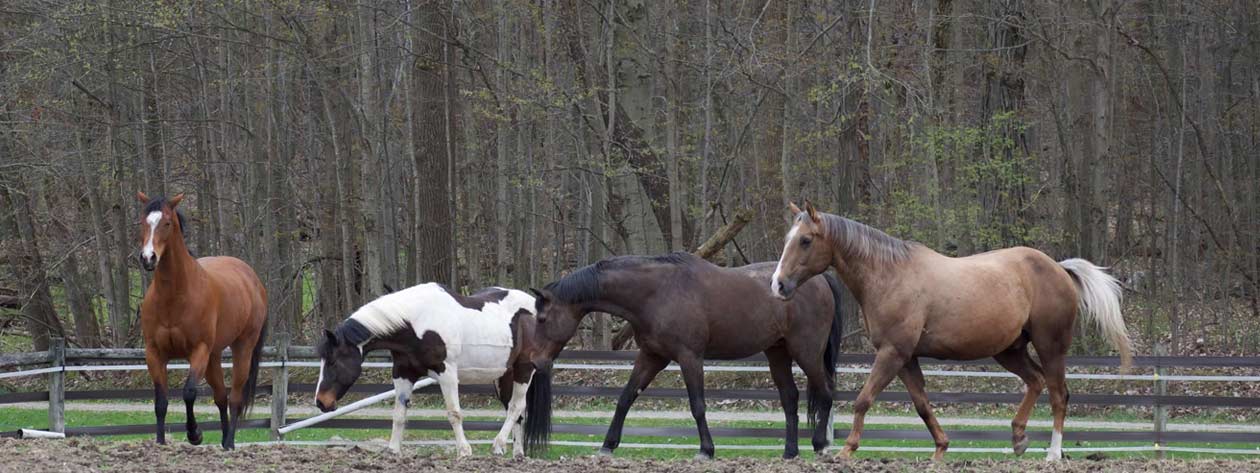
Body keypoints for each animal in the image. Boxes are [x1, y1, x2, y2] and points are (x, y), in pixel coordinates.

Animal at [135, 192, 268, 450]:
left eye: (167, 223)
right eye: (143, 222)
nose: (148, 258)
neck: (174, 295)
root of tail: (253, 279)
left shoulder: (199, 351)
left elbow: (188, 392)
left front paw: (194, 434)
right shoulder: (154, 353)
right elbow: (161, 402)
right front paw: (160, 442)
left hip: (241, 348)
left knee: (234, 398)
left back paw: (230, 443)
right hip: (214, 356)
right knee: (221, 397)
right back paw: (224, 440)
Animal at [315, 283, 552, 458]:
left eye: (333, 362)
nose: (321, 402)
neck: (417, 322)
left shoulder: (447, 374)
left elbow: (454, 413)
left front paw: (464, 451)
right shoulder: (403, 373)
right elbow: (399, 414)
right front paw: (392, 451)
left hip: (523, 370)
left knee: (515, 407)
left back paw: (497, 445)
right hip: (503, 377)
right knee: (517, 412)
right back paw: (516, 454)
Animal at [528, 252, 844, 459]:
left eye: (542, 319)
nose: (535, 362)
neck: (657, 293)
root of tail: (821, 279)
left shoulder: (689, 357)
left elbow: (697, 406)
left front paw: (706, 450)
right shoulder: (651, 356)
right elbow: (625, 398)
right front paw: (608, 445)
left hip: (806, 351)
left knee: (826, 391)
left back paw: (820, 445)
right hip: (777, 352)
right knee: (790, 398)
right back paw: (790, 452)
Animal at [770, 202, 1131, 461]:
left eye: (805, 240)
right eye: (787, 239)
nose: (778, 285)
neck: (890, 276)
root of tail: (1059, 268)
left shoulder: (892, 353)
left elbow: (863, 399)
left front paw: (847, 450)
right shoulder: (906, 358)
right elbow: (921, 405)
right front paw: (941, 448)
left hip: (1050, 346)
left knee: (1058, 394)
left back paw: (1053, 454)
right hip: (1009, 351)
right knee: (1036, 382)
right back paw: (1017, 438)